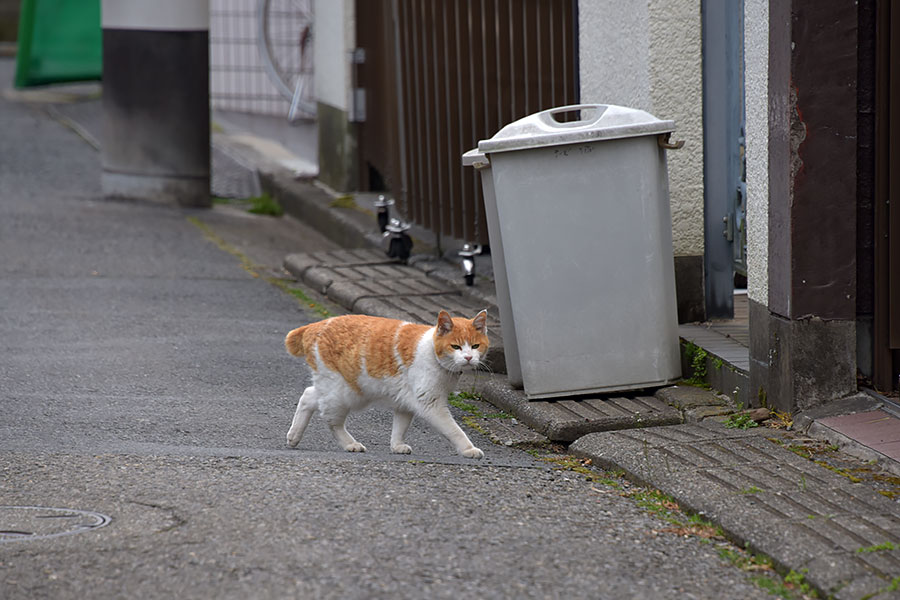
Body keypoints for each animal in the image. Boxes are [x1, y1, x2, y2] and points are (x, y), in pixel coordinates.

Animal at [284, 312, 488, 458]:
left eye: (475, 346)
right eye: (456, 347)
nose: (468, 357)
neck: (431, 351)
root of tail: (317, 325)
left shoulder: (406, 401)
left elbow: (400, 426)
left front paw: (397, 446)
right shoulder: (431, 403)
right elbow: (454, 429)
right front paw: (468, 449)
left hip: (340, 389)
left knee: (308, 395)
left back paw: (293, 436)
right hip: (344, 393)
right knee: (331, 421)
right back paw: (350, 444)